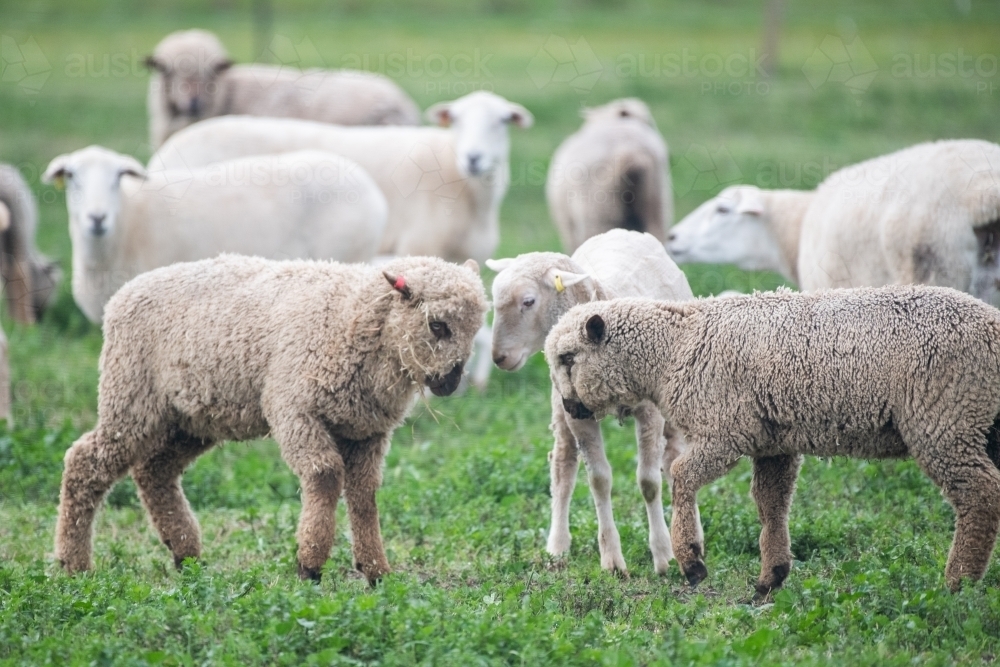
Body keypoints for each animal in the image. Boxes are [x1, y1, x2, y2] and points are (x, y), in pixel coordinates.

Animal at [55, 253, 488, 583]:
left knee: (154, 472)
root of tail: (120, 296)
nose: (450, 382)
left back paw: (186, 555)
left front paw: (375, 570)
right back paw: (73, 565)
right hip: (131, 397)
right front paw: (309, 564)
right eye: (437, 325)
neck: (349, 315)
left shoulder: (367, 431)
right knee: (85, 462)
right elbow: (324, 474)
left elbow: (365, 495)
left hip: (191, 418)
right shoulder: (294, 408)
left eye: (476, 328)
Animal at [487, 229, 699, 575]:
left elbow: (649, 481)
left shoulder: (649, 412)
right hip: (559, 408)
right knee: (562, 466)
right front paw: (612, 560)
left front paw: (663, 554)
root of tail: (620, 231)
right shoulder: (576, 412)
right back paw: (557, 546)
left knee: (674, 461)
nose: (499, 358)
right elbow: (598, 480)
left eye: (528, 301)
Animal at [545, 286, 1000, 594]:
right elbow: (771, 504)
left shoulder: (723, 431)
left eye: (568, 358)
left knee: (980, 494)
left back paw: (958, 583)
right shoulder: (773, 442)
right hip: (977, 424)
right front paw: (771, 578)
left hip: (947, 418)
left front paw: (691, 560)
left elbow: (682, 475)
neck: (674, 349)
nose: (569, 408)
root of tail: (993, 326)